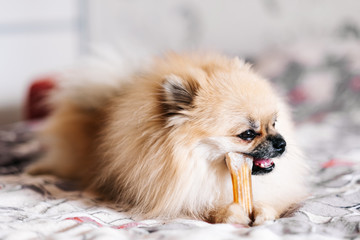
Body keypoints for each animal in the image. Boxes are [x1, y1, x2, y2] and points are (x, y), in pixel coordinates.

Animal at [28, 52, 310, 225]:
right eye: (247, 134)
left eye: (274, 123)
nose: (282, 143)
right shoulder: (178, 197)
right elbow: (206, 206)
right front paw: (231, 213)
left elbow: (271, 202)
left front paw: (262, 211)